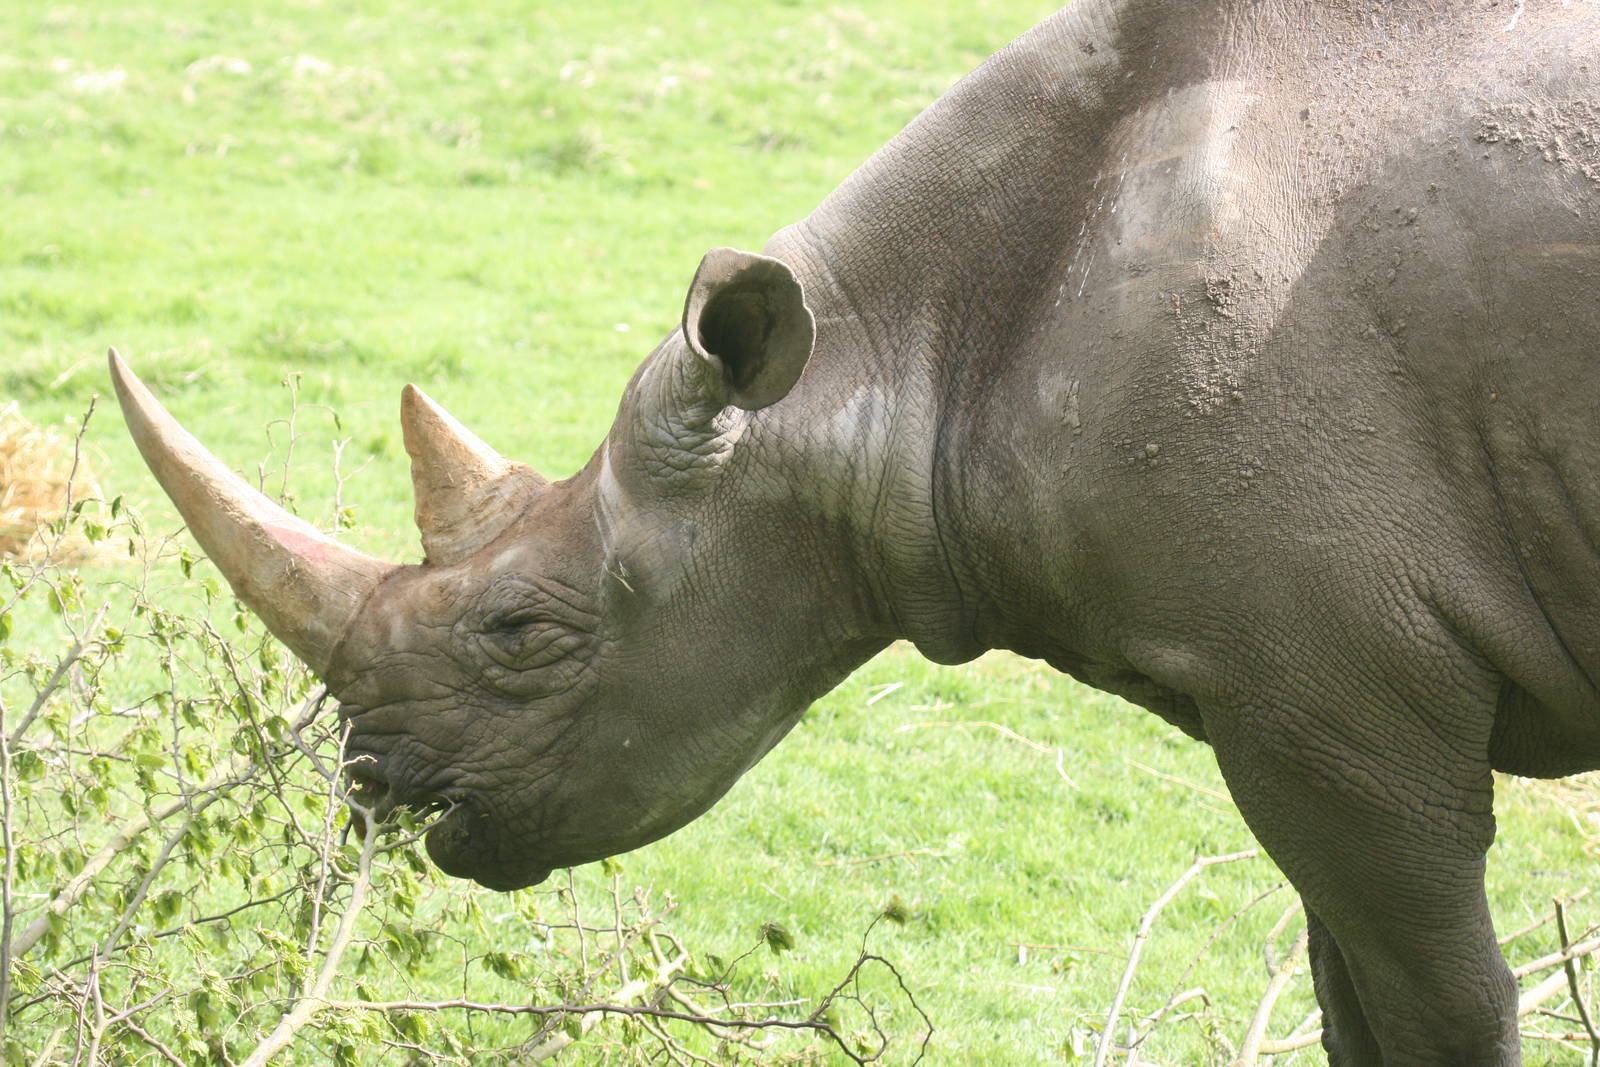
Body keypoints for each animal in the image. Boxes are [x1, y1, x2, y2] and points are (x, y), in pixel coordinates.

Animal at [112, 0, 1600, 1062]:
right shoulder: (1285, 692)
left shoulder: (1340, 693)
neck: (892, 361)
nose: (372, 780)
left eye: (521, 629)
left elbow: (1435, 1007)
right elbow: (1354, 998)